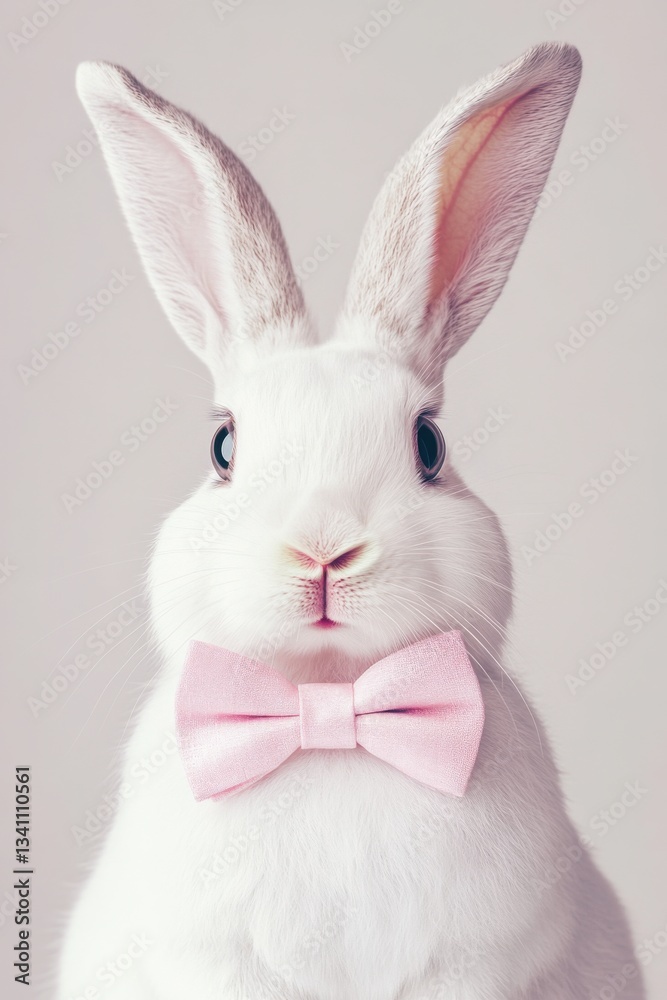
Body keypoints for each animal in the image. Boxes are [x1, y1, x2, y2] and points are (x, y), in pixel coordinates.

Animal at [57, 42, 644, 1000]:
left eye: (429, 444)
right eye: (222, 447)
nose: (322, 552)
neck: (328, 705)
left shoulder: (466, 965)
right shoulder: (212, 962)